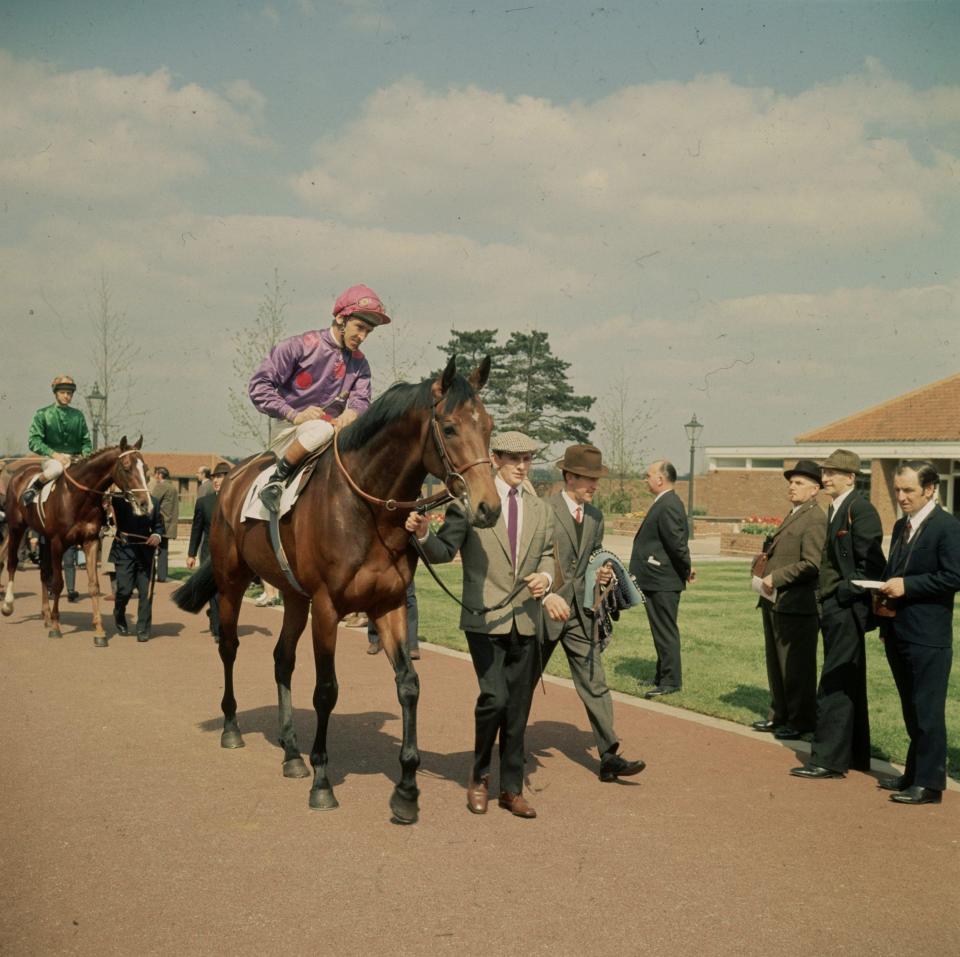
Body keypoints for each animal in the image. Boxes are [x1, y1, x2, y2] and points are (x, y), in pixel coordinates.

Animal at [2, 436, 152, 648]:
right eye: (126, 467)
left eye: (144, 468)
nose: (145, 504)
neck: (78, 497)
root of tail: (19, 473)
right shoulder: (58, 543)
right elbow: (58, 583)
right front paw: (56, 627)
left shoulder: (90, 541)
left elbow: (93, 585)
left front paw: (99, 631)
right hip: (16, 528)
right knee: (13, 563)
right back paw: (8, 605)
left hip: (43, 538)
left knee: (43, 572)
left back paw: (46, 616)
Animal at [174, 358, 502, 820]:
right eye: (451, 428)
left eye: (489, 426)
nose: (489, 507)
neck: (367, 510)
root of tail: (232, 482)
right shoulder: (327, 608)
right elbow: (326, 690)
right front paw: (323, 782)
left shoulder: (388, 604)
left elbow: (409, 685)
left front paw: (406, 789)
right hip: (232, 581)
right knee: (230, 647)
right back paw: (233, 727)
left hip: (294, 596)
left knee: (282, 659)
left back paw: (291, 753)